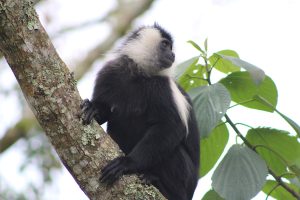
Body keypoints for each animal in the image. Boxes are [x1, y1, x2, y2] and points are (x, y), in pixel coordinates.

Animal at [81, 23, 200, 200]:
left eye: (170, 47)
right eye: (165, 45)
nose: (172, 54)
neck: (138, 73)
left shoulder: (162, 87)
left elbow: (171, 125)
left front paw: (127, 163)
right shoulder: (109, 73)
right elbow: (105, 111)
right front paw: (93, 108)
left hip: (186, 178)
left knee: (173, 152)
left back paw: (156, 181)